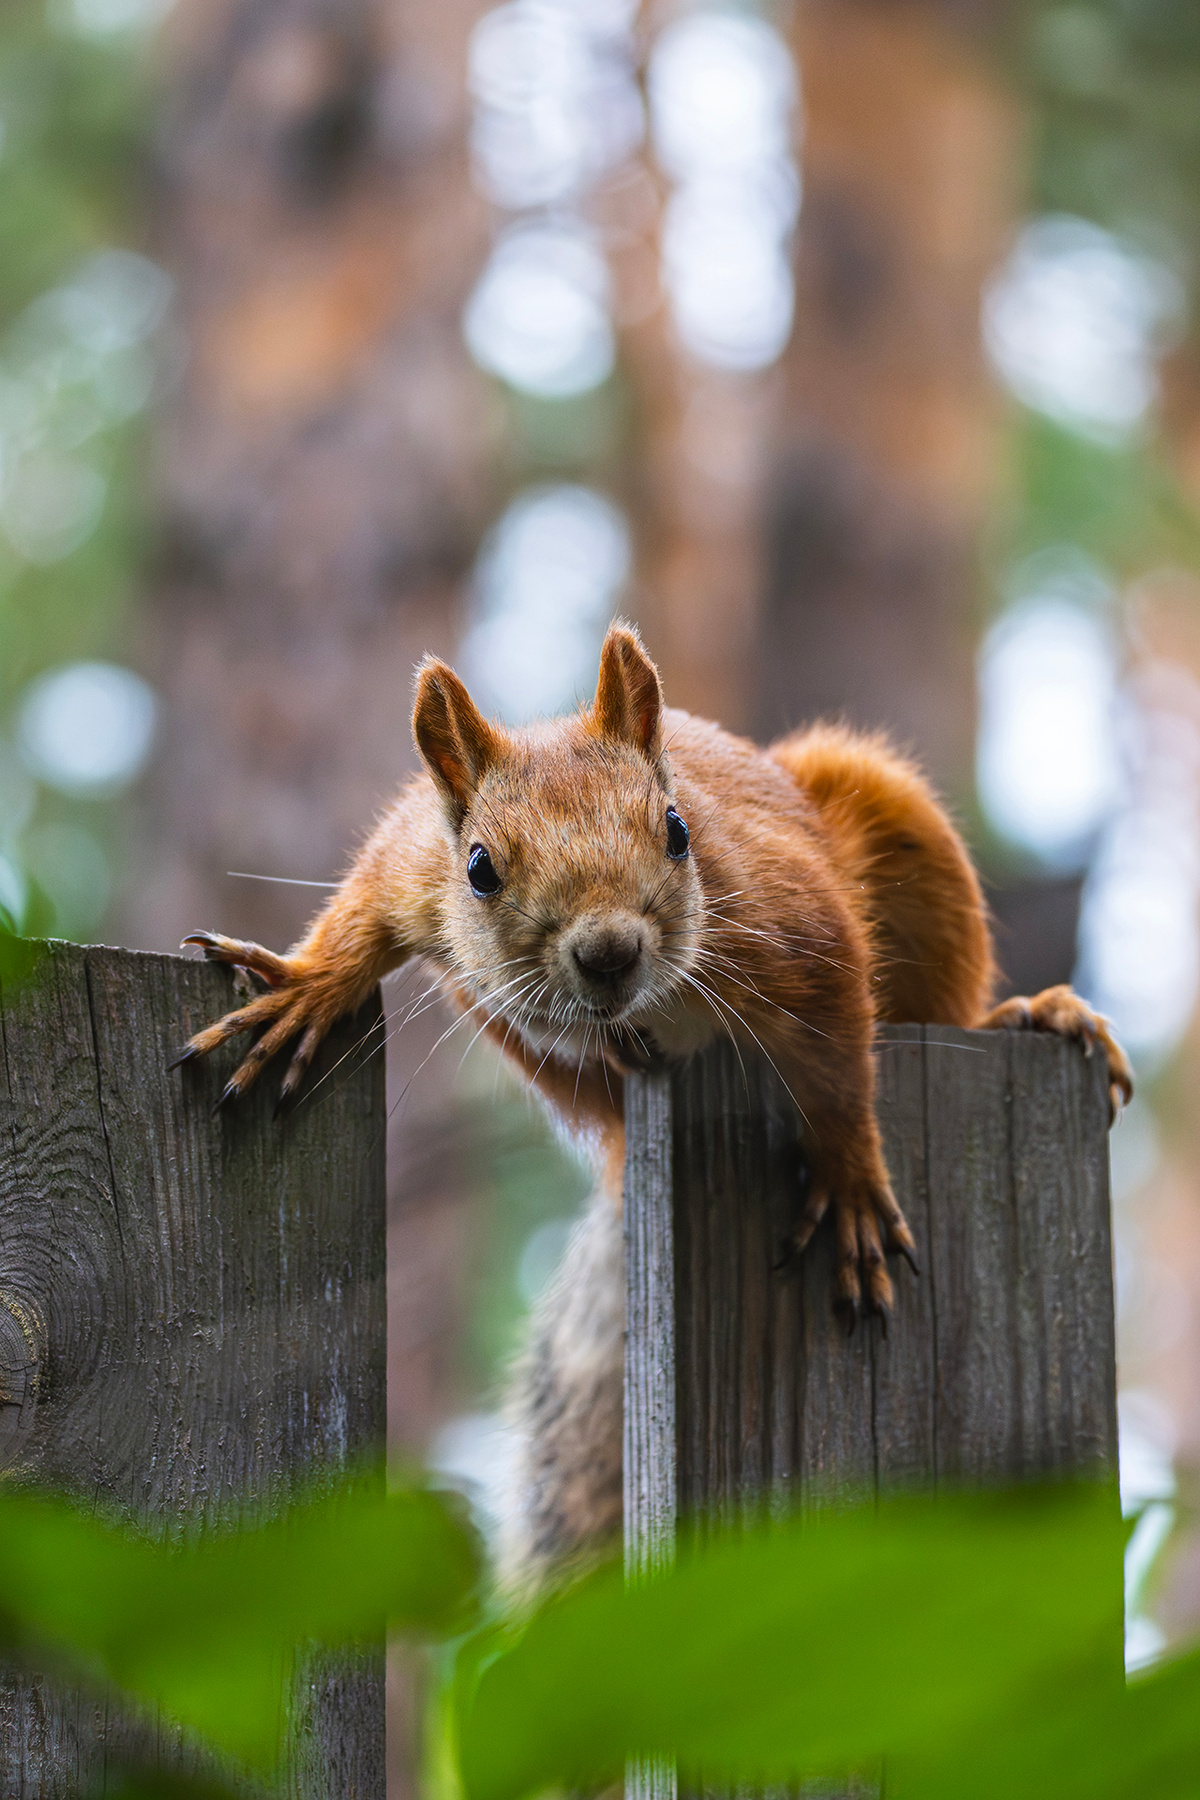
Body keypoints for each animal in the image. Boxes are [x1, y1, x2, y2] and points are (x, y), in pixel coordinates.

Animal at [174, 620, 1133, 1581]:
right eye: (480, 868)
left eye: (677, 832)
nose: (609, 952)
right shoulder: (415, 859)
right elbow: (366, 910)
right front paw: (307, 989)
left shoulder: (796, 923)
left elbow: (838, 1068)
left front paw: (852, 1176)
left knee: (946, 1005)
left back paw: (1032, 1012)